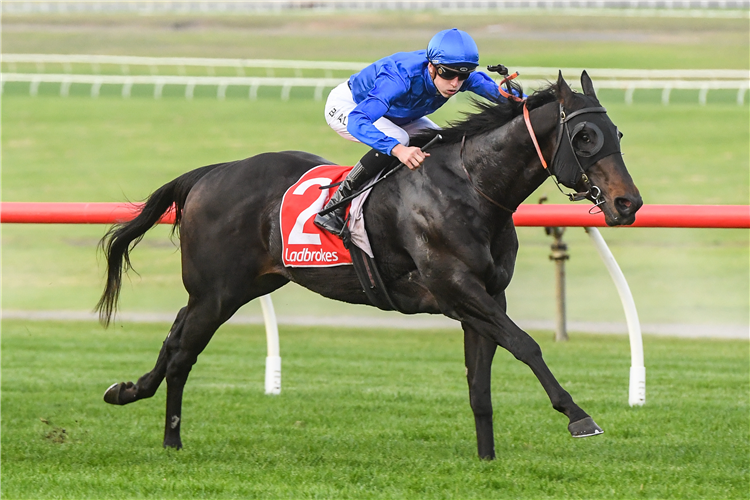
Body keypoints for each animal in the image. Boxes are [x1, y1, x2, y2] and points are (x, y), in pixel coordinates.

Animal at [97, 72, 644, 458]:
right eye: (585, 137)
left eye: (617, 131)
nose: (628, 204)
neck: (471, 188)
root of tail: (210, 173)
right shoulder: (457, 289)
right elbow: (526, 345)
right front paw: (578, 416)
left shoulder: (486, 296)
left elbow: (480, 381)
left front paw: (487, 458)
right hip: (217, 292)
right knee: (183, 353)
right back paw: (167, 435)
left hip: (237, 288)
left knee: (175, 339)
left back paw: (131, 395)